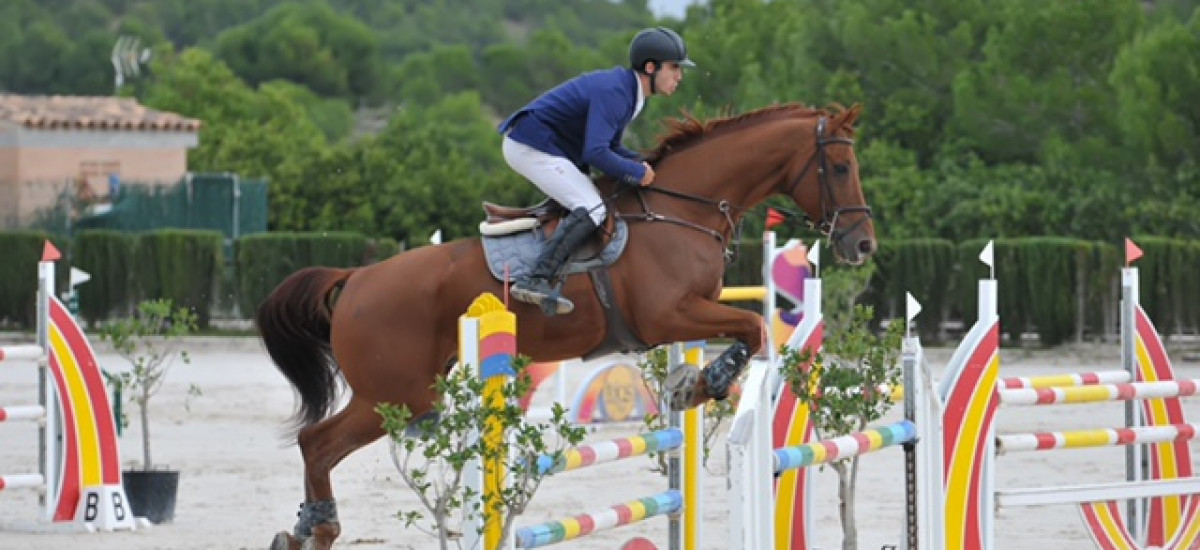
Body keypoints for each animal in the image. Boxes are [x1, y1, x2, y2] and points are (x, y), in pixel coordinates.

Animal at [262, 100, 878, 547]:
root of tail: (357, 278)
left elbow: (746, 330)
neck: (682, 211)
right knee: (317, 443)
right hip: (398, 395)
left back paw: (303, 530)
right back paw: (318, 527)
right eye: (840, 167)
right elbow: (753, 327)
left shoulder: (688, 315)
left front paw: (691, 384)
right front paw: (708, 382)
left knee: (318, 445)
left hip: (405, 393)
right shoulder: (668, 313)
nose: (862, 245)